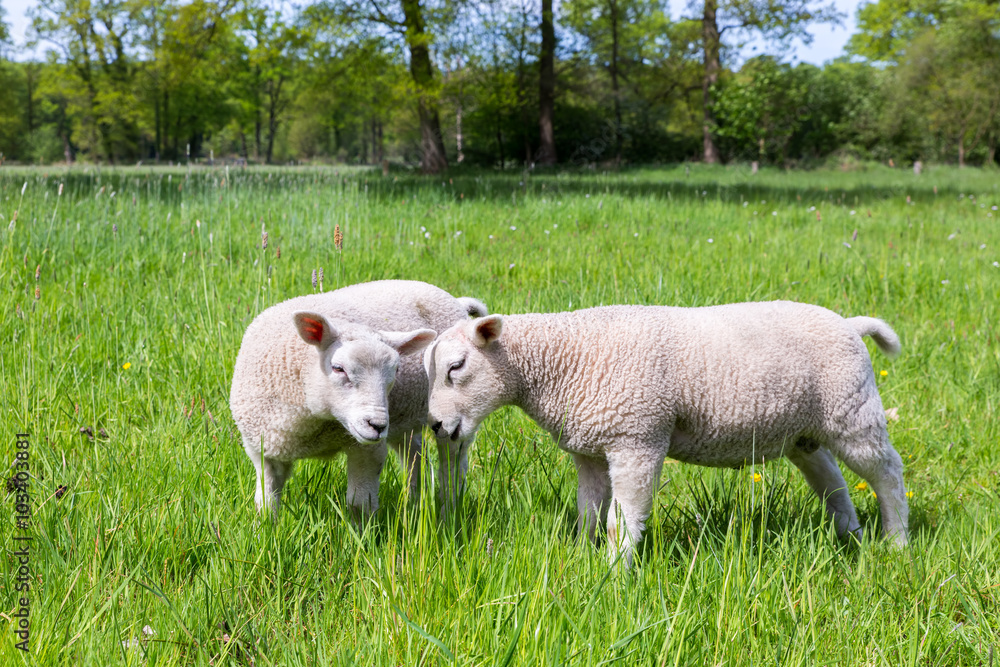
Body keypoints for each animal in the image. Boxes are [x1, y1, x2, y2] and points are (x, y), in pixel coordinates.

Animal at [230, 280, 486, 518]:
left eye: (395, 371)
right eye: (338, 368)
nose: (378, 425)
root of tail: (457, 301)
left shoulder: (367, 449)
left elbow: (359, 505)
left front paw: (364, 537)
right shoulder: (262, 450)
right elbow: (266, 503)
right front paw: (265, 531)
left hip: (455, 412)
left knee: (453, 465)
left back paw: (449, 511)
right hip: (403, 419)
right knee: (415, 457)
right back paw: (414, 505)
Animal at [424, 301, 908, 565]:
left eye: (456, 367)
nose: (436, 425)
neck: (563, 361)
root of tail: (850, 323)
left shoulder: (637, 439)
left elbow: (621, 521)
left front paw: (614, 574)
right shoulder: (591, 450)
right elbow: (588, 513)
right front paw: (581, 558)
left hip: (853, 410)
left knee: (888, 473)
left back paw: (897, 541)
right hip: (804, 430)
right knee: (830, 477)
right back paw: (851, 534)